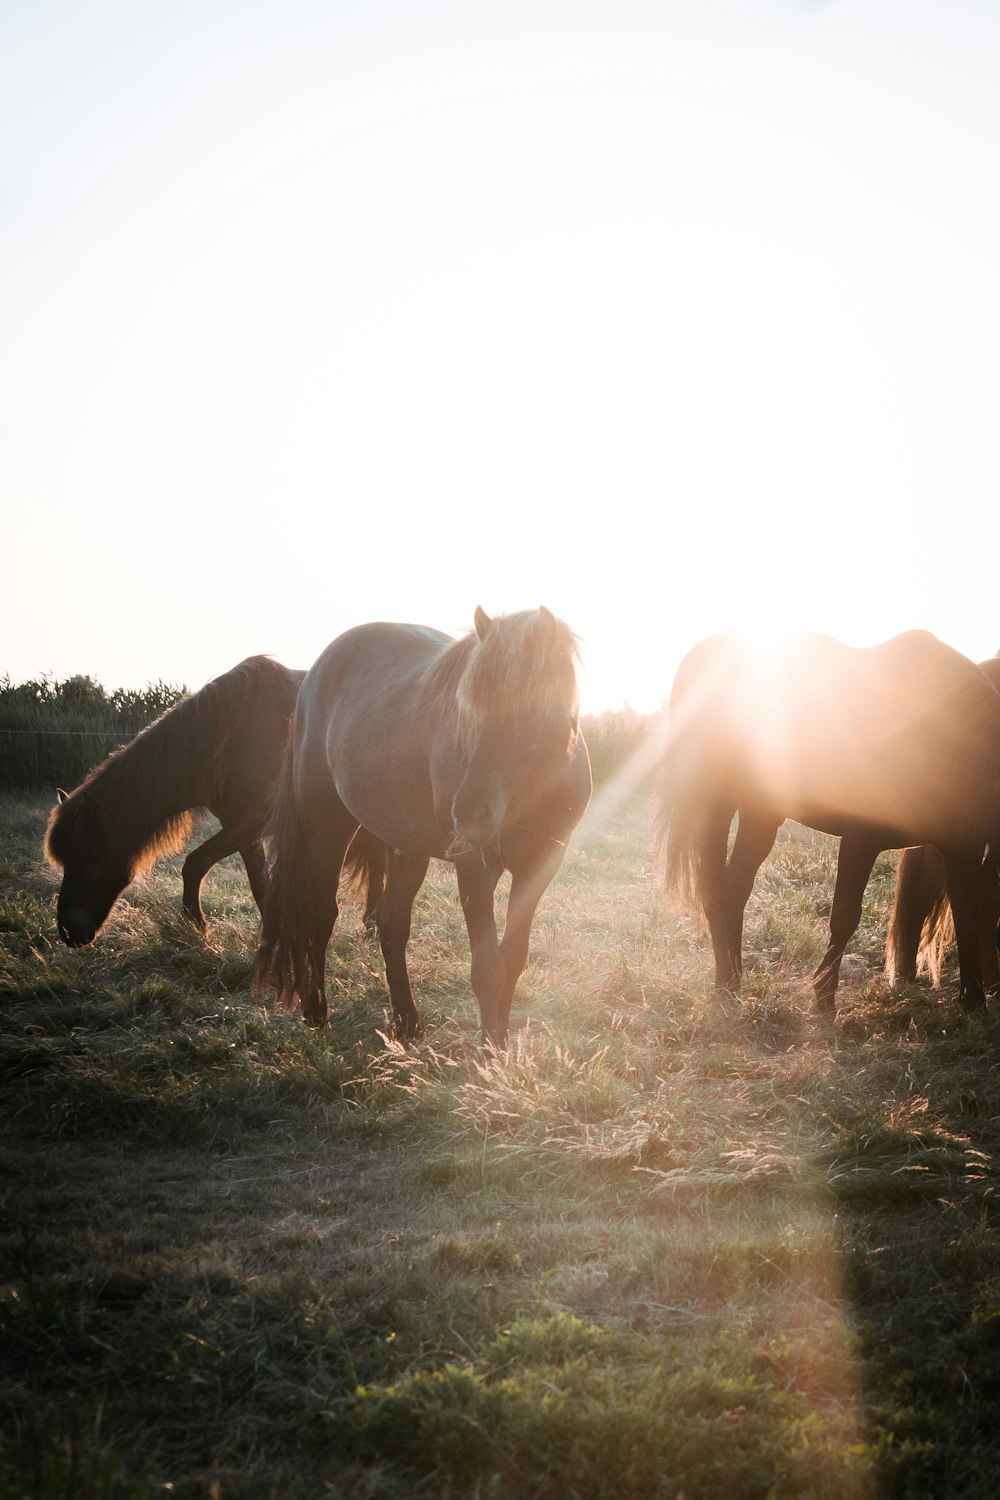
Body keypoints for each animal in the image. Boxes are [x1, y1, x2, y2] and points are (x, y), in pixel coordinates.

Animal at [45, 654, 386, 942]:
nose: (69, 932)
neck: (233, 734)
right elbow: (260, 886)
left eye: (90, 856)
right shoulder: (242, 828)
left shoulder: (252, 823)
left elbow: (195, 863)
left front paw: (197, 925)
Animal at [251, 606, 593, 1044]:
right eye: (467, 711)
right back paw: (316, 1011)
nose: (467, 816)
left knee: (391, 924)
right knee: (321, 916)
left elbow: (513, 958)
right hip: (325, 829)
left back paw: (406, 1022)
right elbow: (488, 968)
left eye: (532, 707)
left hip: (406, 848)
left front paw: (500, 1044)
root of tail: (313, 677)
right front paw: (488, 1050)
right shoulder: (475, 867)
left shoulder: (541, 866)